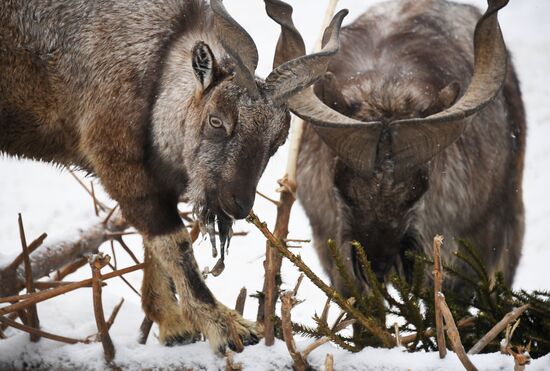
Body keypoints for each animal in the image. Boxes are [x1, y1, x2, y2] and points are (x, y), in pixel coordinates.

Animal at [1, 0, 350, 354]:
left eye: (277, 141)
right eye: (216, 120)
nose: (236, 205)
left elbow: (154, 247)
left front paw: (173, 325)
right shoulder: (119, 166)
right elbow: (174, 242)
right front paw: (226, 327)